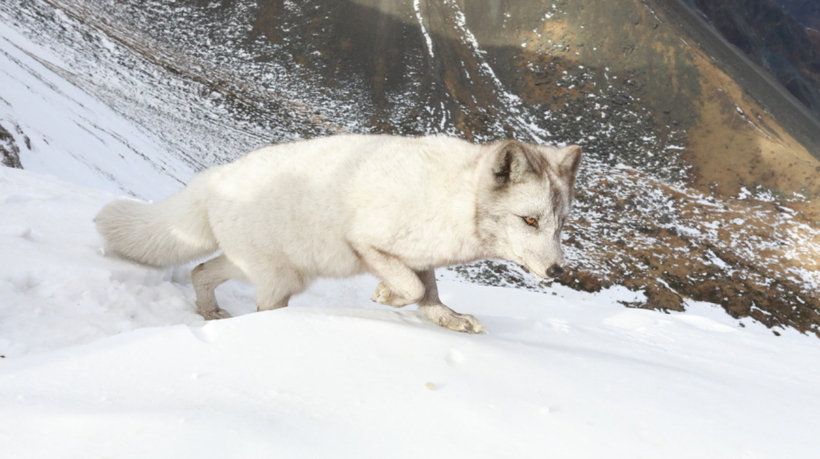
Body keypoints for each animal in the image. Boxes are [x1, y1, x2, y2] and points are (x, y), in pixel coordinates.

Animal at [96, 135, 580, 332]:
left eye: (559, 225)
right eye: (530, 221)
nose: (558, 271)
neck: (452, 201)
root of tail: (213, 177)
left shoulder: (421, 258)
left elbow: (429, 296)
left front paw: (449, 320)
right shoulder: (368, 243)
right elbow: (409, 288)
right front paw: (386, 296)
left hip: (254, 267)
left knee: (199, 271)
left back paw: (210, 315)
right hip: (281, 280)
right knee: (256, 306)